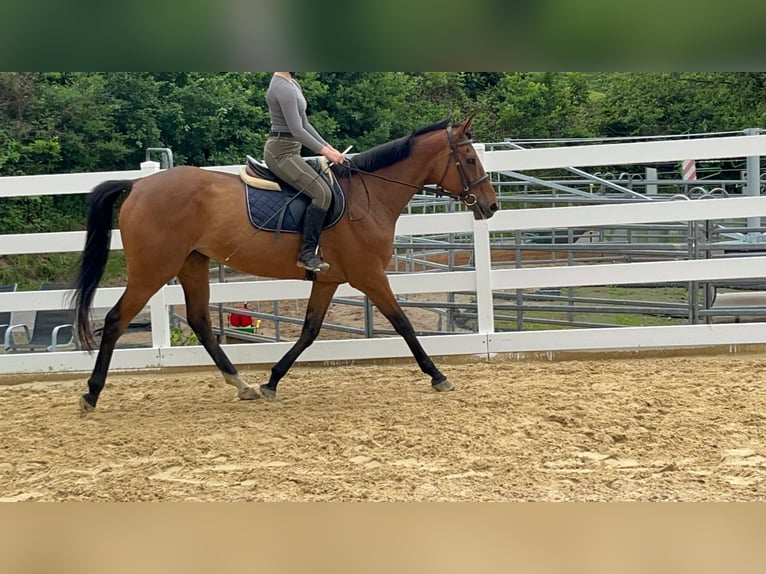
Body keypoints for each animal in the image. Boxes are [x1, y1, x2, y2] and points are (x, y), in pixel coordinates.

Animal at [71, 116, 499, 412]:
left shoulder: (328, 280)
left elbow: (309, 330)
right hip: (153, 270)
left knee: (201, 322)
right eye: (469, 158)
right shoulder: (370, 275)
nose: (491, 206)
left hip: (191, 264)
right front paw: (438, 375)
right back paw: (91, 393)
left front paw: (272, 381)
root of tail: (138, 185)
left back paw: (242, 385)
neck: (370, 196)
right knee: (116, 320)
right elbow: (403, 323)